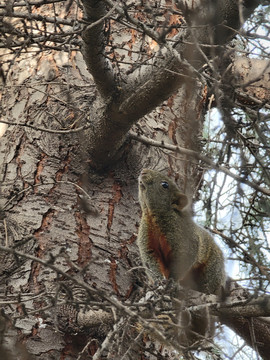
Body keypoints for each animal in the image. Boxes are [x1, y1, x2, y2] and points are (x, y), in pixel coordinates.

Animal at [137, 170, 226, 344]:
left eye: (165, 184)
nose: (143, 172)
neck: (152, 216)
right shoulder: (147, 243)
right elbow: (150, 263)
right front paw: (158, 282)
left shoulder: (186, 241)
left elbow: (184, 259)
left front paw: (171, 281)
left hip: (212, 272)